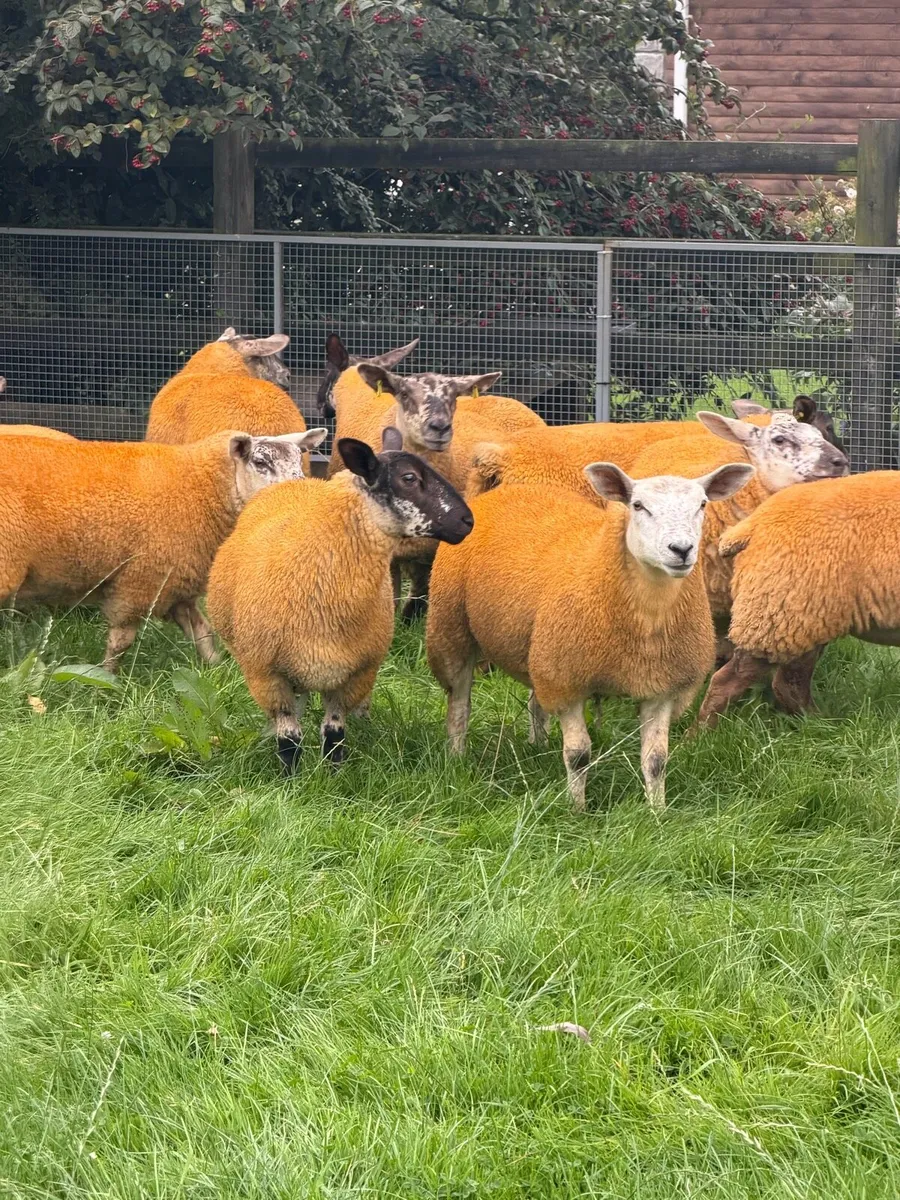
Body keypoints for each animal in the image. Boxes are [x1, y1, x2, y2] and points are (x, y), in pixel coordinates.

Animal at [0, 427, 326, 673]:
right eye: (261, 463)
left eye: (299, 460)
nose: (301, 493)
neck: (201, 489)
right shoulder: (140, 582)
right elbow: (120, 642)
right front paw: (106, 683)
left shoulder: (177, 584)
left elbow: (203, 634)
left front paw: (216, 671)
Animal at [206, 428, 474, 772]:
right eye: (409, 478)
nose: (468, 521)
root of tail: (289, 485)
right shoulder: (266, 674)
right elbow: (289, 738)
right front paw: (291, 777)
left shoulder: (355, 673)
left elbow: (334, 733)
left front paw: (333, 773)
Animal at [426, 460, 754, 810]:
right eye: (638, 506)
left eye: (702, 505)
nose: (681, 550)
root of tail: (508, 490)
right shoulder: (568, 681)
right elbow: (578, 755)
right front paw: (577, 810)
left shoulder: (661, 686)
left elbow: (656, 759)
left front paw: (658, 811)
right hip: (453, 630)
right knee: (460, 704)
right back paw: (457, 758)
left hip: (541, 649)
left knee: (536, 702)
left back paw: (538, 746)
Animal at [694, 470, 900, 729]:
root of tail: (754, 523)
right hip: (781, 612)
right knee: (732, 681)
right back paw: (700, 734)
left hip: (799, 616)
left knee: (788, 683)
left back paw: (816, 723)